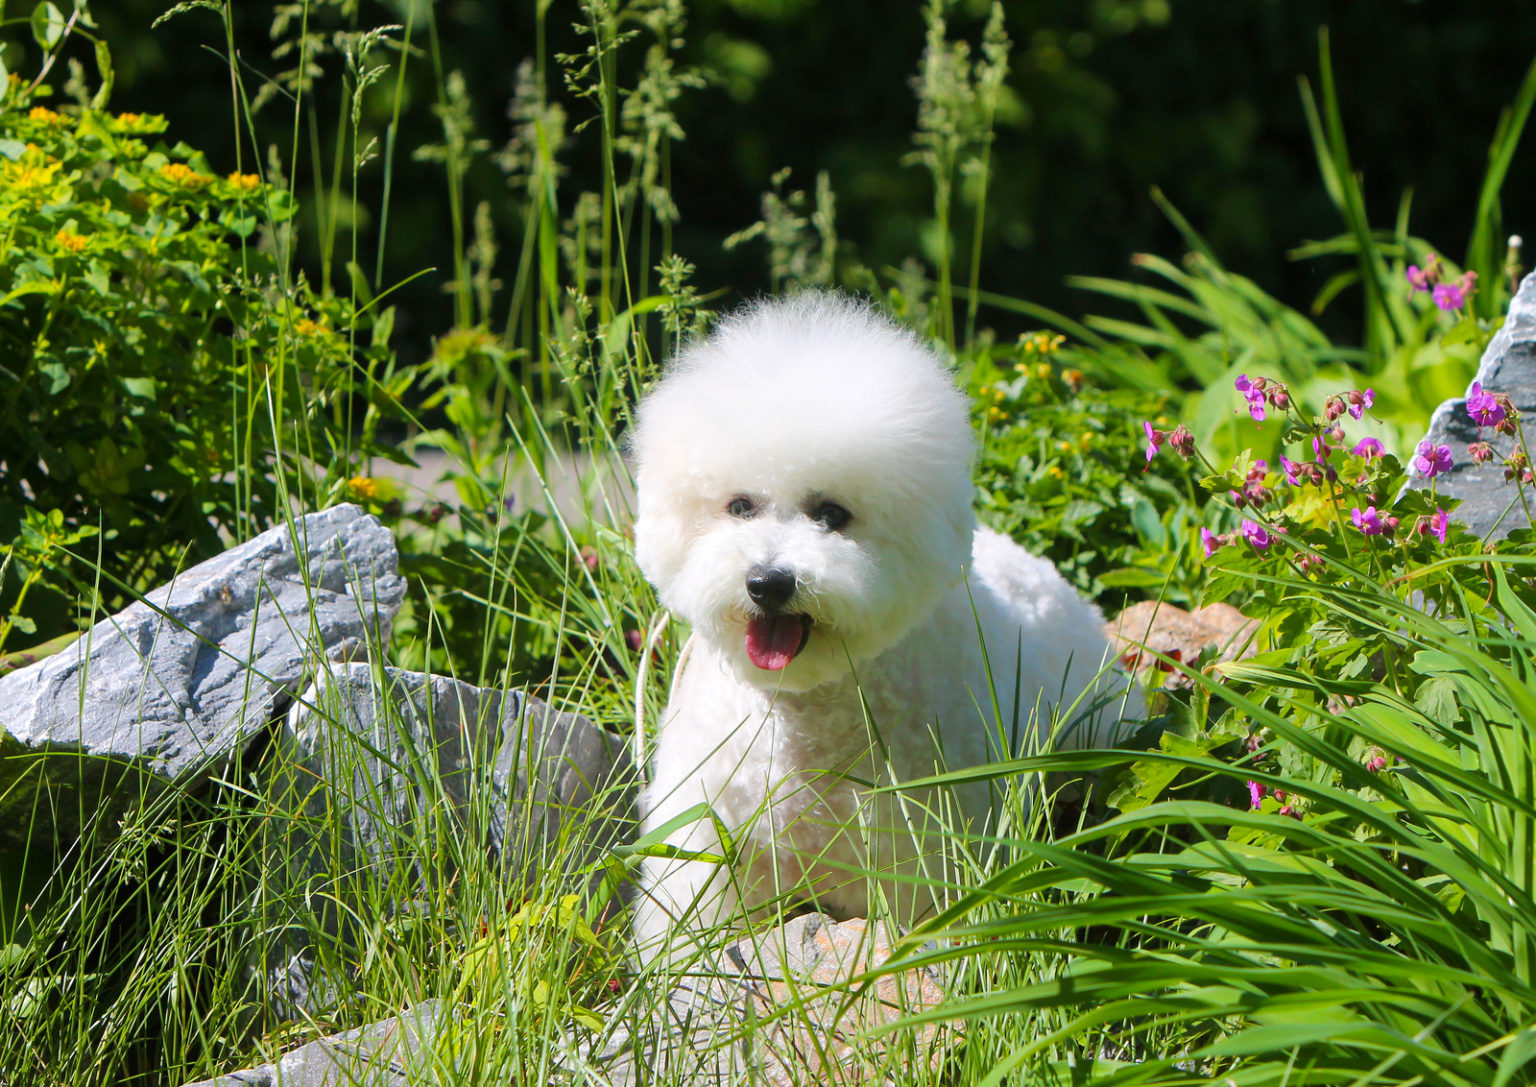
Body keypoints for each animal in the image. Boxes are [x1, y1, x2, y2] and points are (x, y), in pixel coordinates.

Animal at [626, 293, 1142, 958]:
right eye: (739, 506)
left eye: (831, 514)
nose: (768, 583)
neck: (808, 718)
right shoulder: (709, 834)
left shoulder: (922, 849)